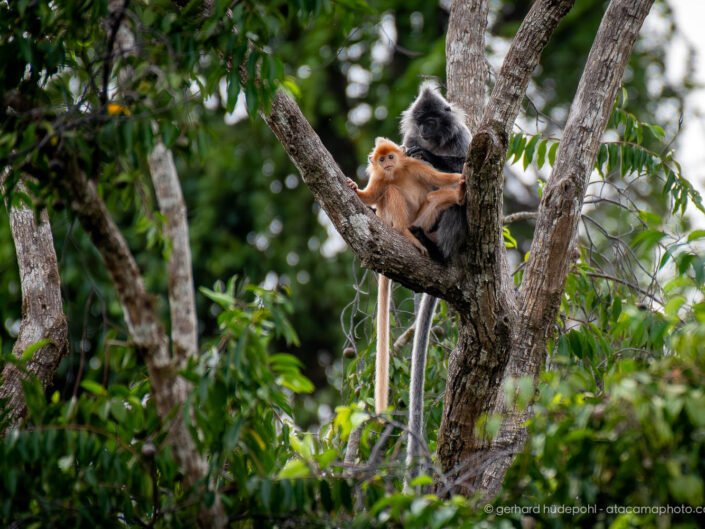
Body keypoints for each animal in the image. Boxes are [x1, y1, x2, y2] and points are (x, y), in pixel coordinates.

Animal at [346, 137, 463, 413]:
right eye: (381, 160)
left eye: (391, 157)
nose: (387, 163)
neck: (396, 174)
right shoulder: (379, 178)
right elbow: (372, 195)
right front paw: (355, 189)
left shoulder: (414, 165)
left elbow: (441, 179)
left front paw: (462, 179)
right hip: (391, 220)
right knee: (391, 193)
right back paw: (406, 235)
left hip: (422, 219)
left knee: (435, 196)